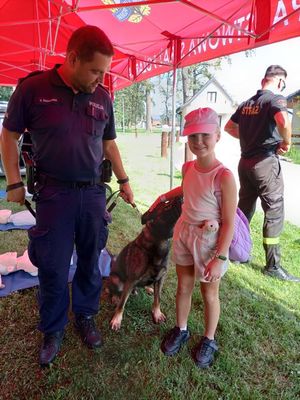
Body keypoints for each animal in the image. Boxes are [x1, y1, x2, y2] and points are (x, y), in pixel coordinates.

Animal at [108, 195, 182, 330]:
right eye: (166, 204)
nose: (182, 196)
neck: (160, 239)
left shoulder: (161, 278)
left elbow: (158, 298)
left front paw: (157, 313)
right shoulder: (131, 280)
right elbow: (122, 304)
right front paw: (117, 319)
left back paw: (148, 288)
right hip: (117, 280)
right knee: (114, 290)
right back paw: (116, 297)